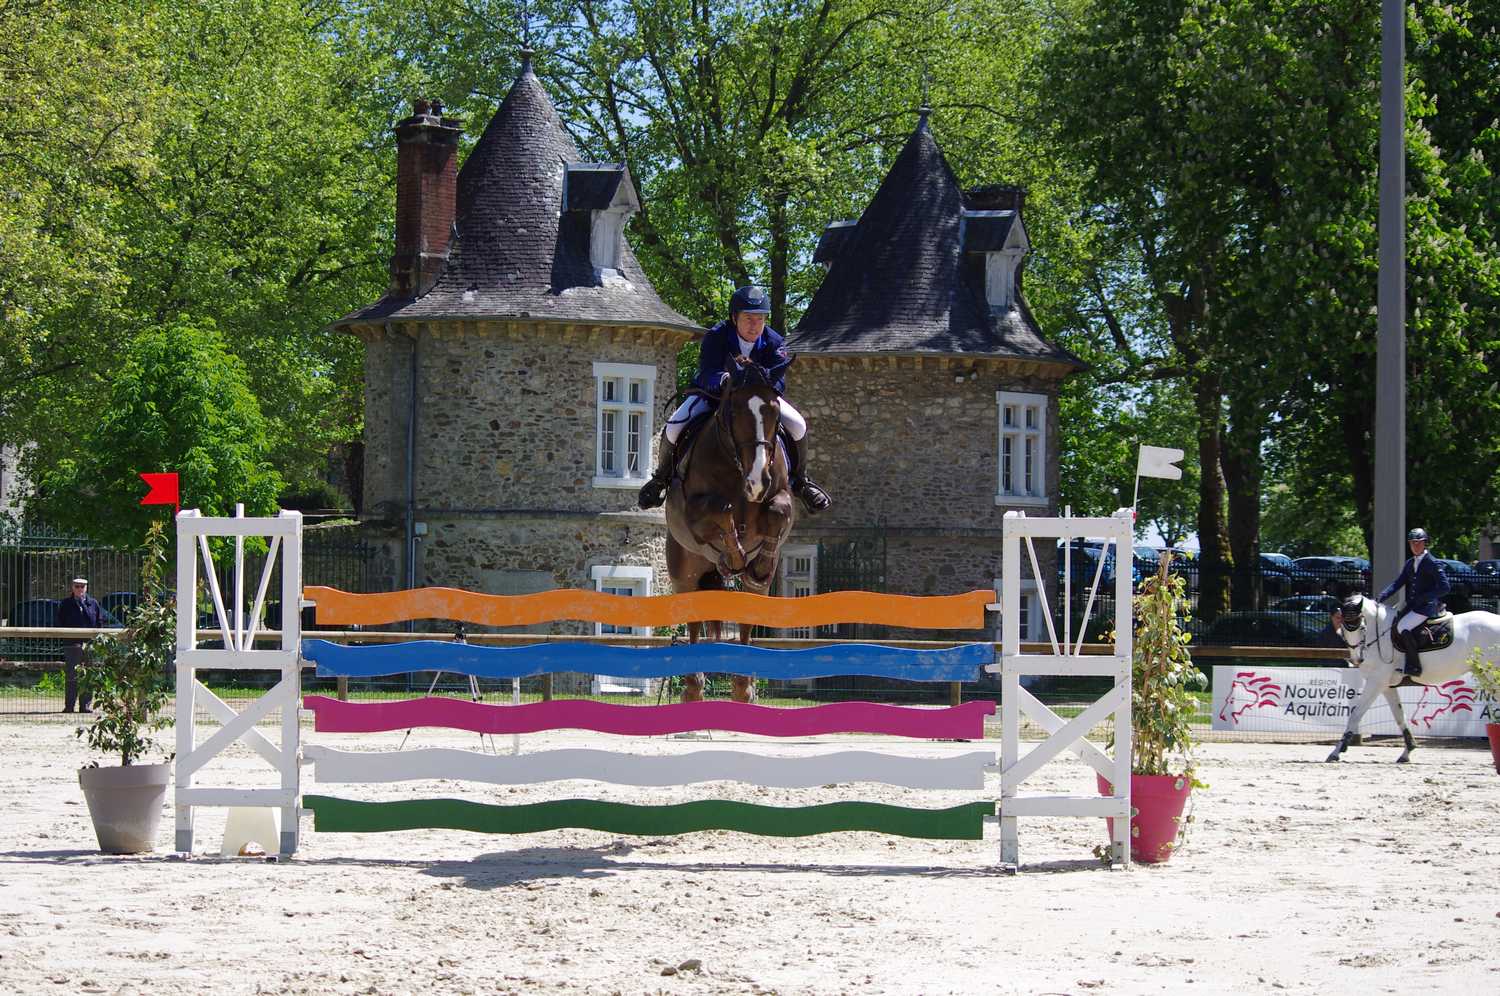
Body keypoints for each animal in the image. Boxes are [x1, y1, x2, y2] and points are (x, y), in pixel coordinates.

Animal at [663, 358, 792, 699]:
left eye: (775, 411)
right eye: (734, 411)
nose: (757, 480)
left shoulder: (781, 496)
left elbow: (779, 511)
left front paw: (759, 563)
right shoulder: (695, 512)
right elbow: (724, 510)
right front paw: (733, 557)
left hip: (753, 592)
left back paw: (743, 685)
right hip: (686, 576)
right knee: (694, 627)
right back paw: (693, 684)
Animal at [1326, 594, 1500, 765]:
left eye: (1362, 628)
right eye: (1343, 628)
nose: (1357, 659)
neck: (1380, 633)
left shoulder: (1376, 682)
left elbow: (1356, 714)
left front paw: (1336, 751)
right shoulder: (1386, 686)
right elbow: (1399, 716)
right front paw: (1407, 752)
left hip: (1492, 674)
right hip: (1484, 674)